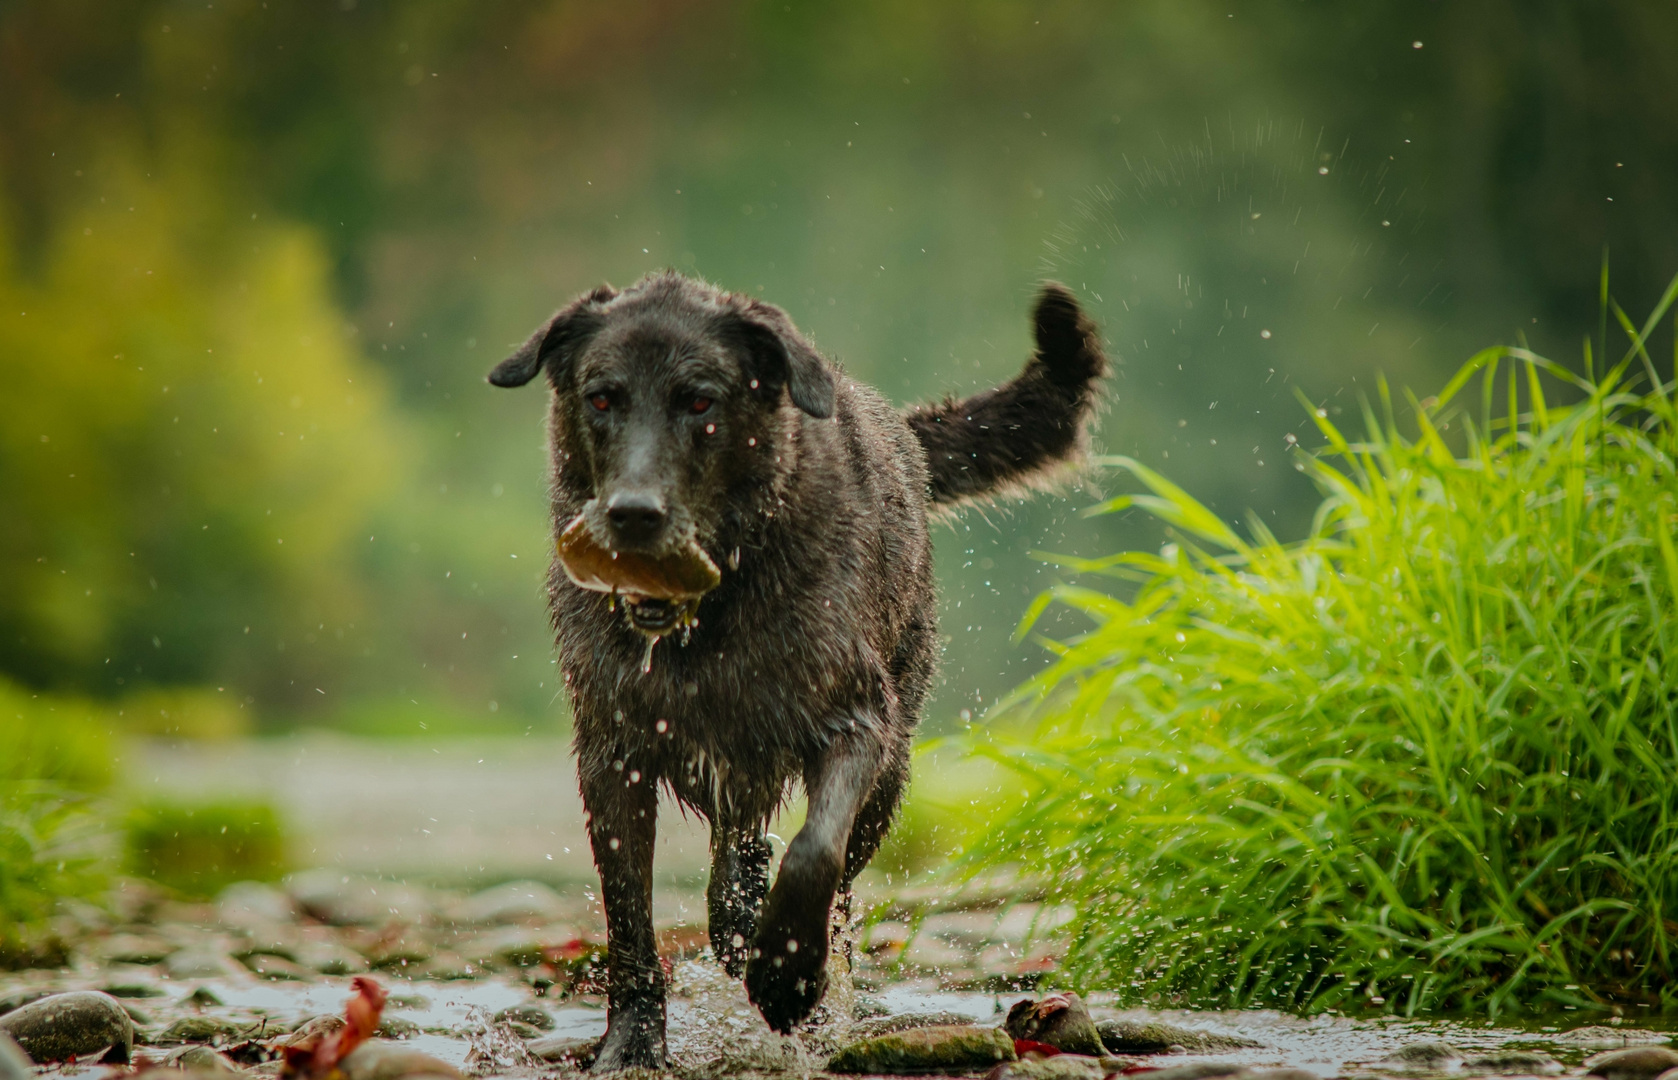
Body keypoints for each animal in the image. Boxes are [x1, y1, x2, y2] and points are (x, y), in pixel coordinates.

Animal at [489, 275, 1107, 1066]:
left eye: (701, 401)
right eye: (601, 398)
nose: (633, 515)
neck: (710, 615)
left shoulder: (856, 724)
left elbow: (816, 850)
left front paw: (787, 975)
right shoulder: (612, 757)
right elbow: (629, 920)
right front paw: (631, 1044)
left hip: (892, 773)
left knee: (832, 877)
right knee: (736, 851)